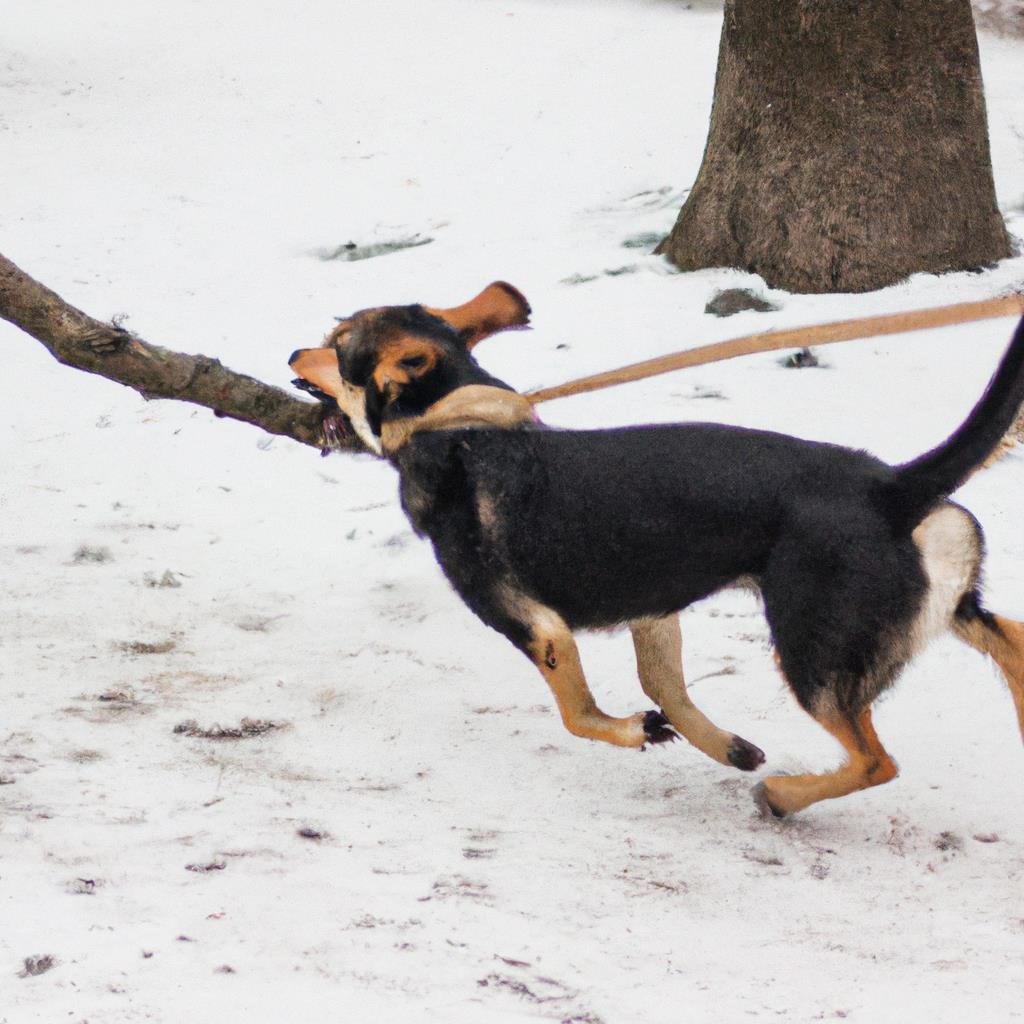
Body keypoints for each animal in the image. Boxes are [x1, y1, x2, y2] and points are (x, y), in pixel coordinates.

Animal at [288, 286, 1024, 815]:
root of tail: (894, 485)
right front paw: (723, 746)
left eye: (336, 342)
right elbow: (666, 690)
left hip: (815, 656)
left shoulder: (538, 628)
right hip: (945, 609)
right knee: (1011, 645)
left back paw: (783, 798)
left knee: (876, 762)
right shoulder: (654, 609)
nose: (293, 353)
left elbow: (579, 715)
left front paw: (641, 732)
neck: (456, 426)